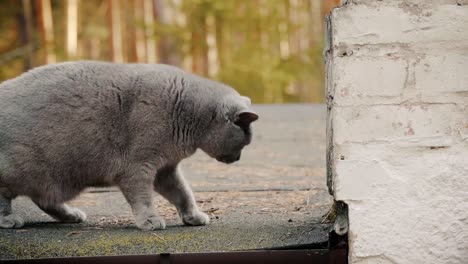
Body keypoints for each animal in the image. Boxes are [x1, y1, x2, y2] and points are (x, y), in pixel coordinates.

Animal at [0, 60, 258, 230]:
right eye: (244, 142)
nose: (238, 158)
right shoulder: (138, 166)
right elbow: (143, 196)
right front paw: (150, 220)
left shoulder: (165, 168)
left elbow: (183, 193)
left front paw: (193, 216)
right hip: (20, 170)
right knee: (7, 198)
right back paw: (9, 220)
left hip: (58, 178)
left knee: (44, 199)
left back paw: (71, 215)